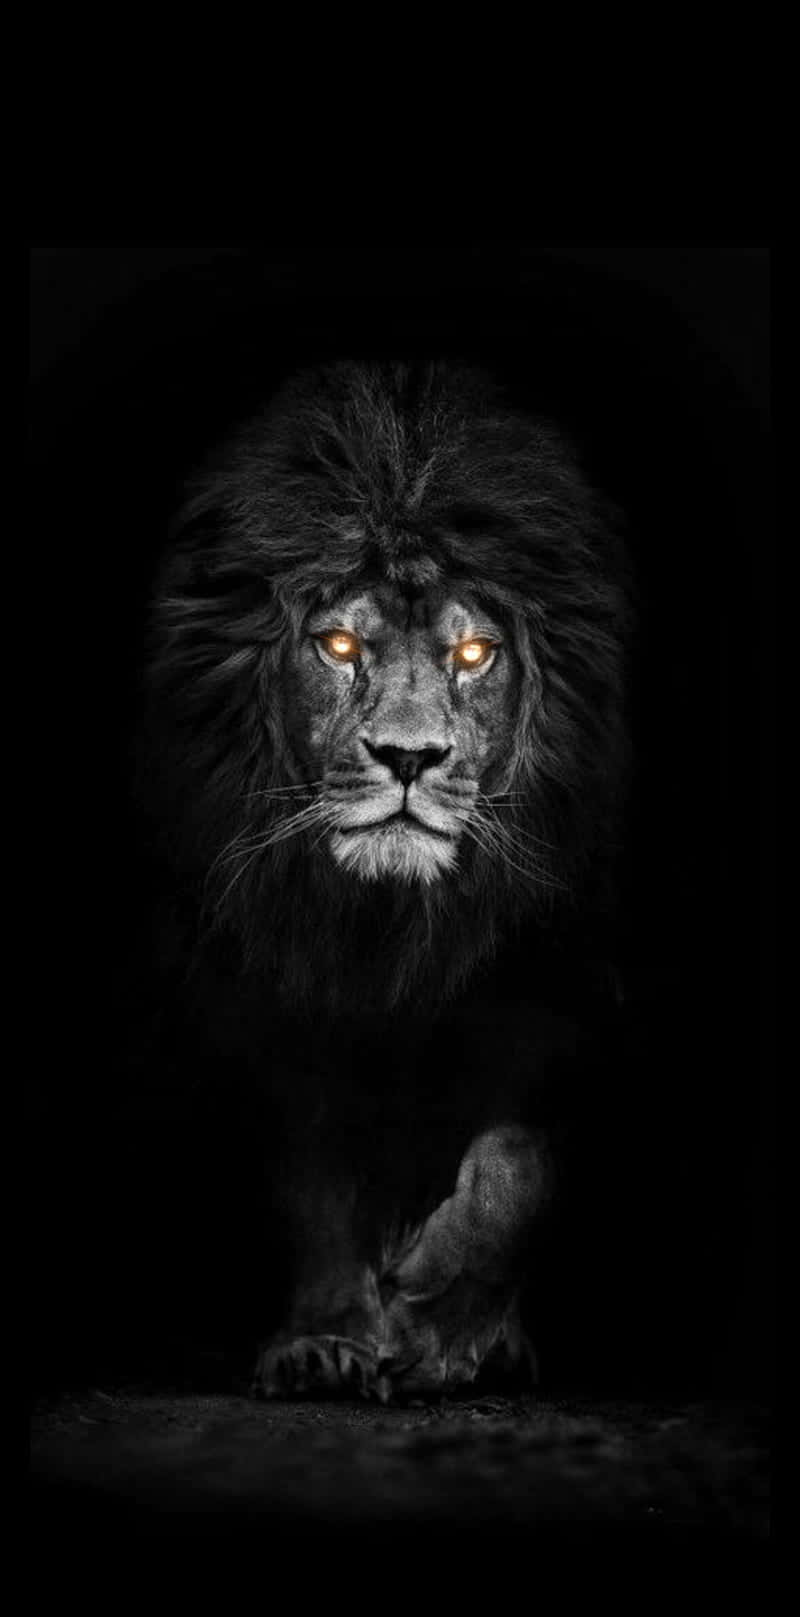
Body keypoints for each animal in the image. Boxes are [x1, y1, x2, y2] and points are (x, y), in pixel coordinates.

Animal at [143, 361, 630, 1400]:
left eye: (474, 652)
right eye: (337, 645)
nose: (408, 757)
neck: (393, 927)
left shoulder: (569, 989)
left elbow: (520, 1163)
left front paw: (442, 1325)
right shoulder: (271, 1000)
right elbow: (315, 1183)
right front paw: (328, 1340)